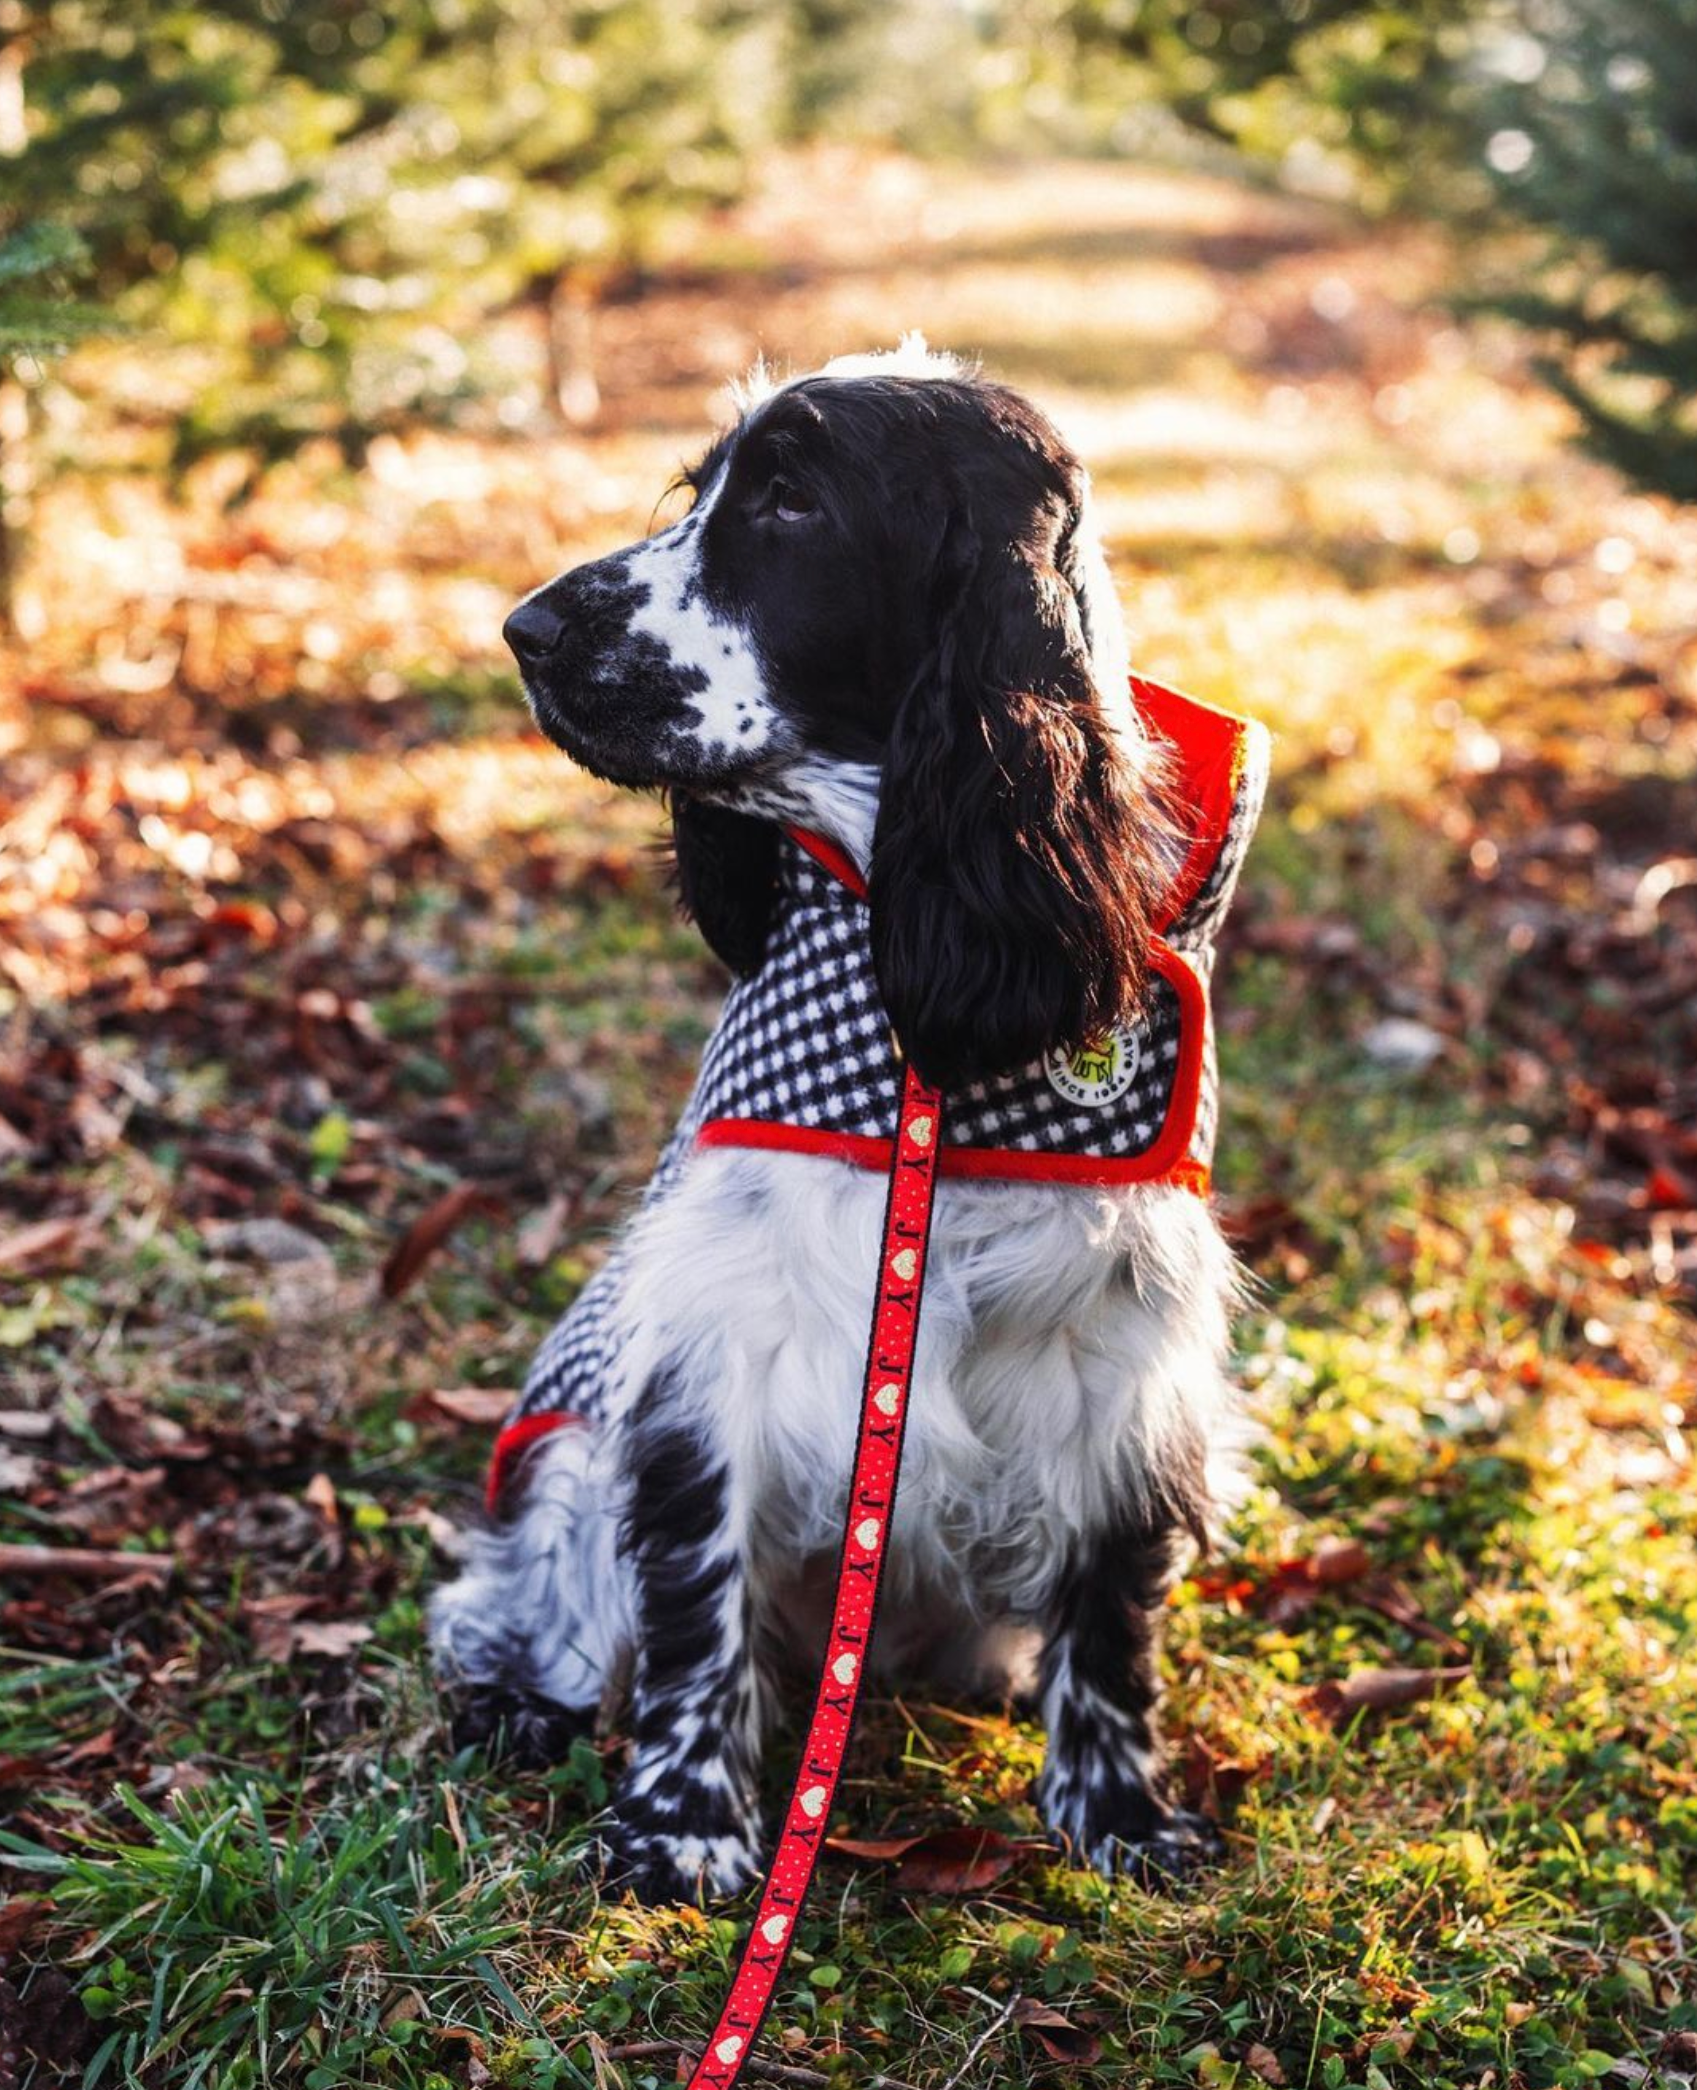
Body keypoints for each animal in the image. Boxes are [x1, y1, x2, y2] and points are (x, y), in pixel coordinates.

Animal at [430, 338, 1262, 1914]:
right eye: (701, 490)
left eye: (793, 504)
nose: (525, 630)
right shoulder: (718, 1344)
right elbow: (696, 1596)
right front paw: (681, 1827)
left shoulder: (1122, 1361)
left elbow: (1108, 1617)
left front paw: (1120, 1817)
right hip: (563, 1463)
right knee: (522, 1595)